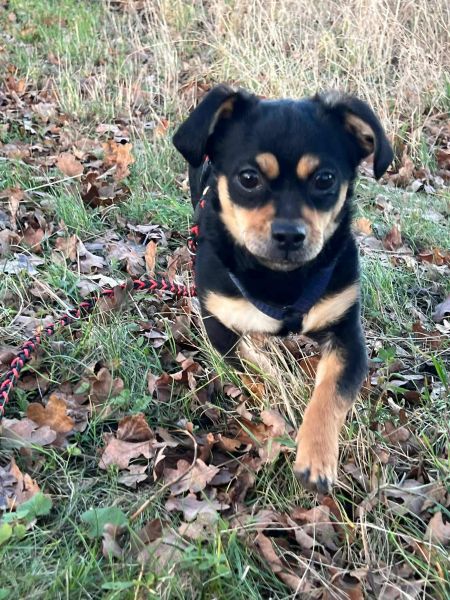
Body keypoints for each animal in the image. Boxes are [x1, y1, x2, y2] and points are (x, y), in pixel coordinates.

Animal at [173, 85, 393, 493]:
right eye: (248, 178)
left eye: (324, 180)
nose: (290, 235)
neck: (282, 279)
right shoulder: (217, 322)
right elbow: (249, 365)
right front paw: (272, 385)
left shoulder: (346, 332)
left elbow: (330, 394)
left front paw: (316, 457)